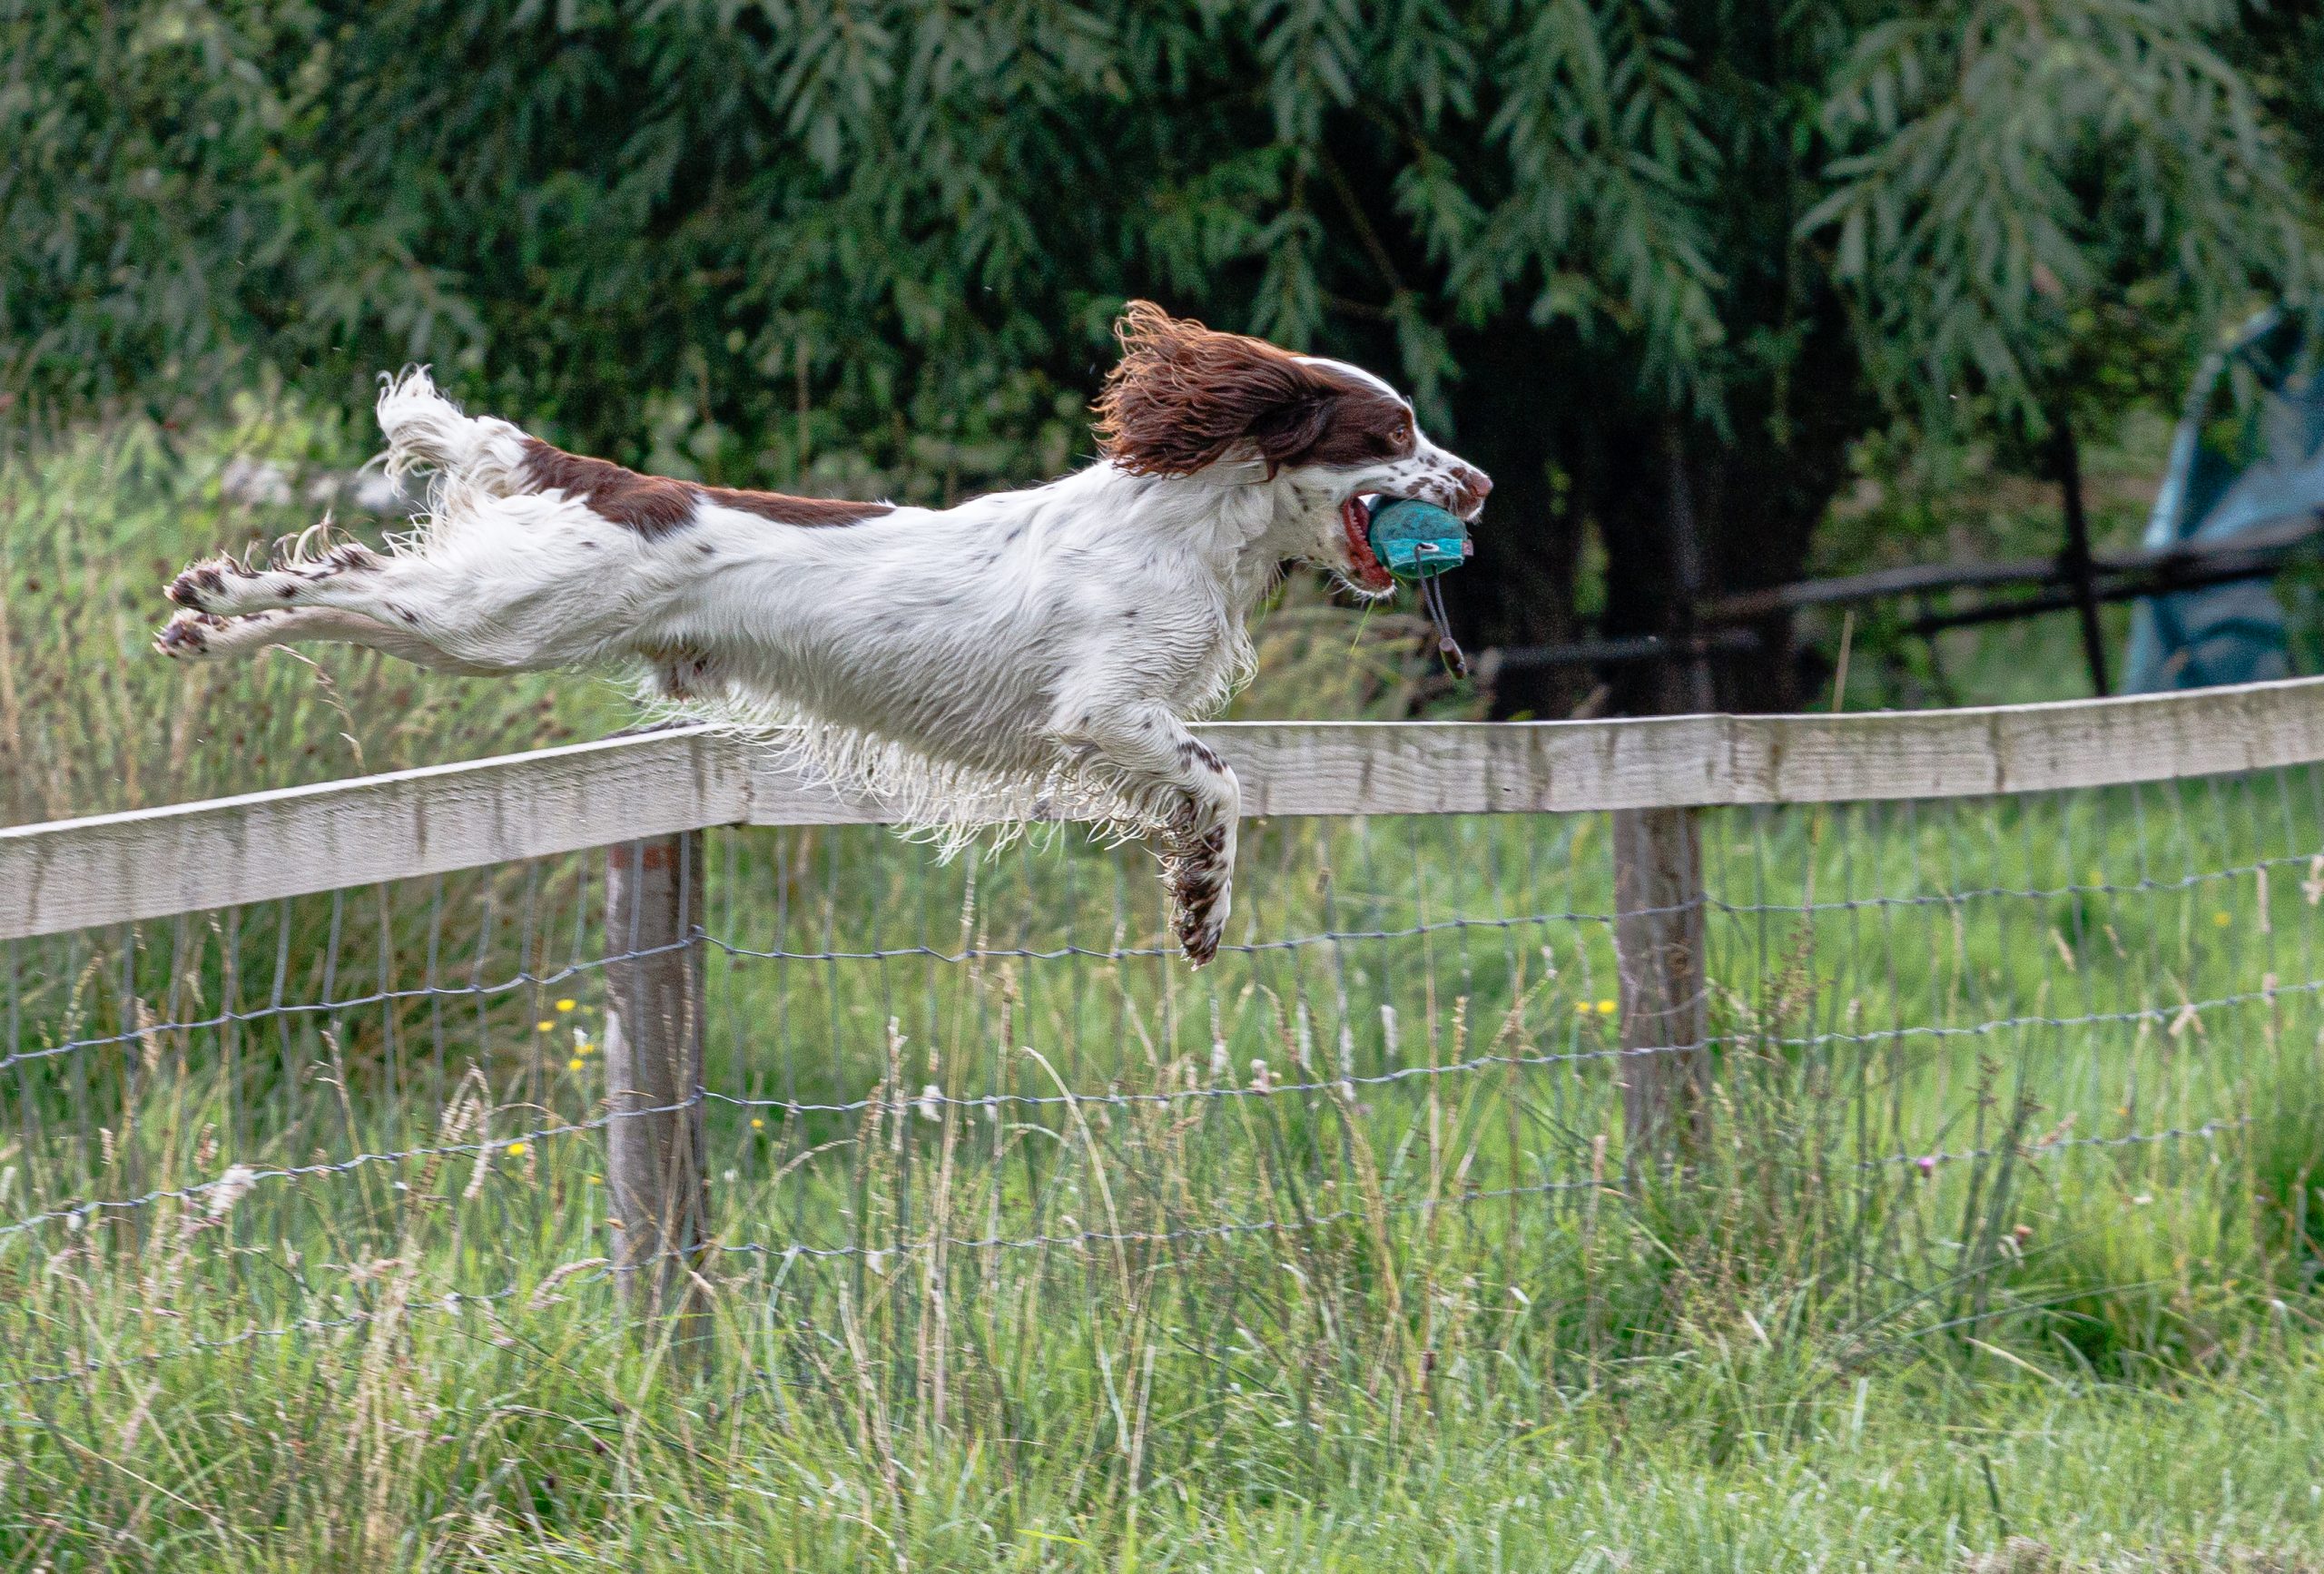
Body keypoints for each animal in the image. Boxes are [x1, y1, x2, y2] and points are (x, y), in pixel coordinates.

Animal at [159, 296, 1487, 958]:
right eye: (1394, 428)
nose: (1478, 485)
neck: (1190, 524)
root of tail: (603, 474)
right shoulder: (1108, 708)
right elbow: (1220, 784)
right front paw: (1202, 908)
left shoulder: (1119, 724)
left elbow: (1205, 788)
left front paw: (1194, 898)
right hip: (502, 619)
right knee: (341, 582)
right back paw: (214, 604)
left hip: (495, 617)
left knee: (351, 580)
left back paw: (206, 631)